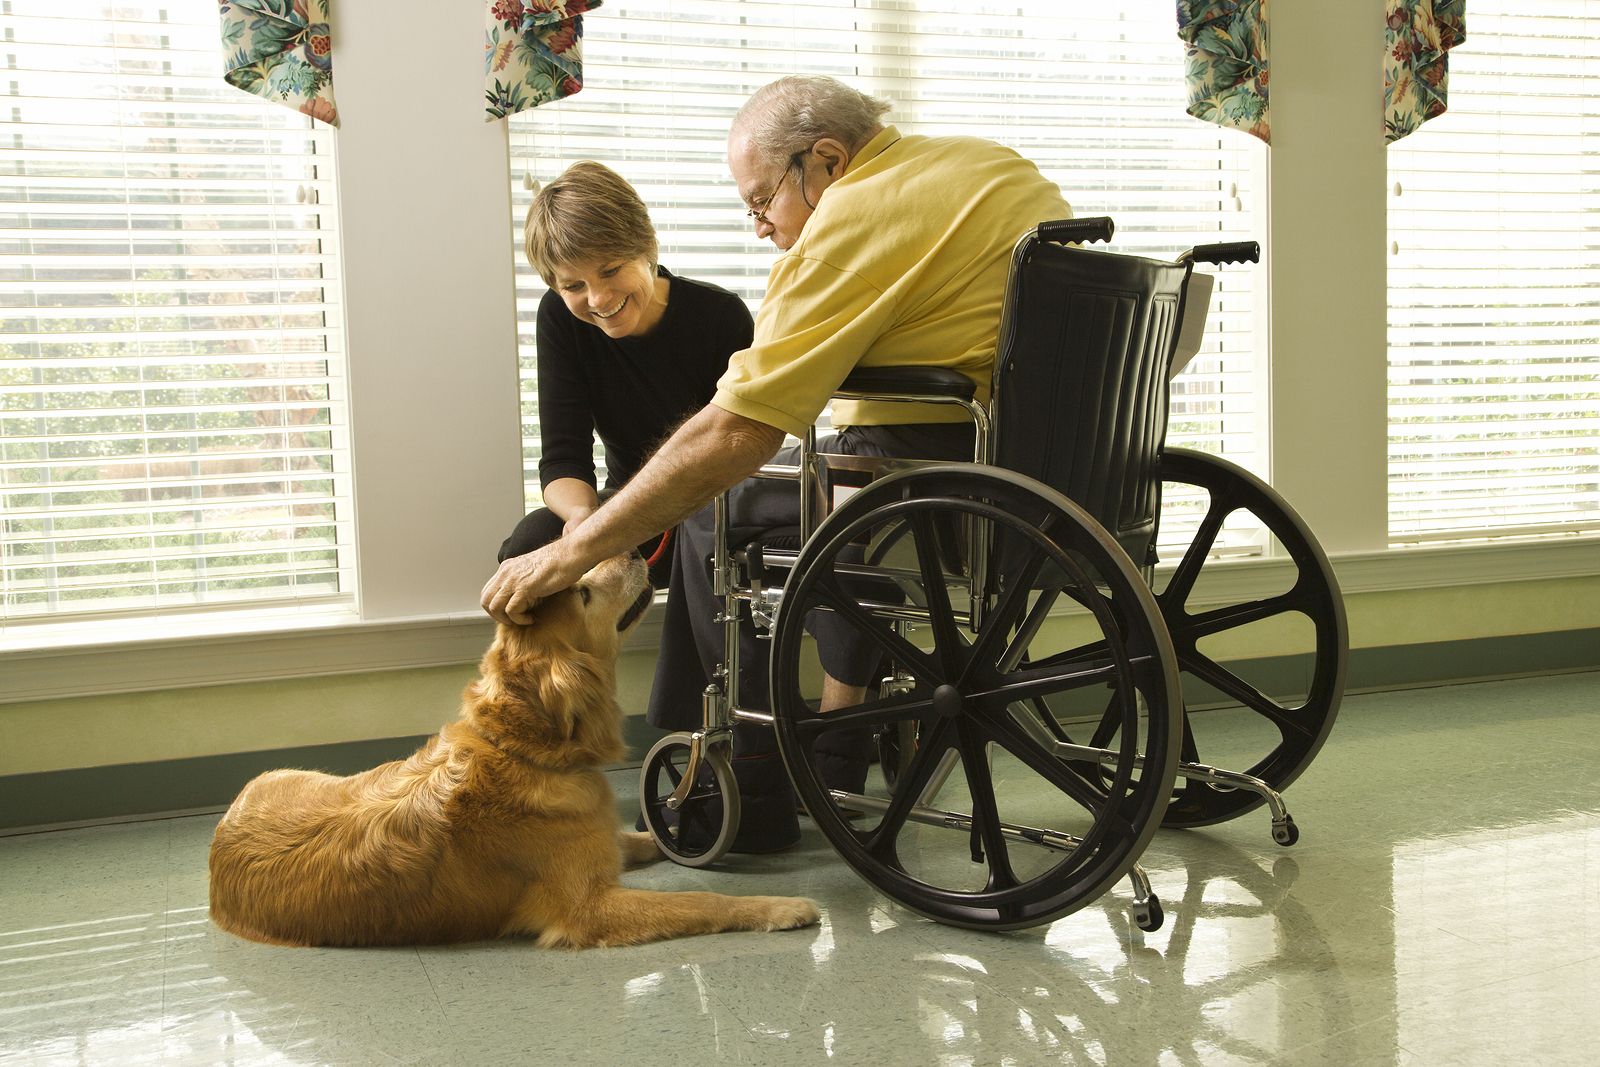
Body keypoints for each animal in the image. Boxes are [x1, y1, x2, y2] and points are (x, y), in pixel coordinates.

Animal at [206, 556, 819, 947]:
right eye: (584, 592)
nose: (634, 551)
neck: (525, 752)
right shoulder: (590, 908)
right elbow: (704, 901)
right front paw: (781, 907)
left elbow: (638, 842)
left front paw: (684, 837)